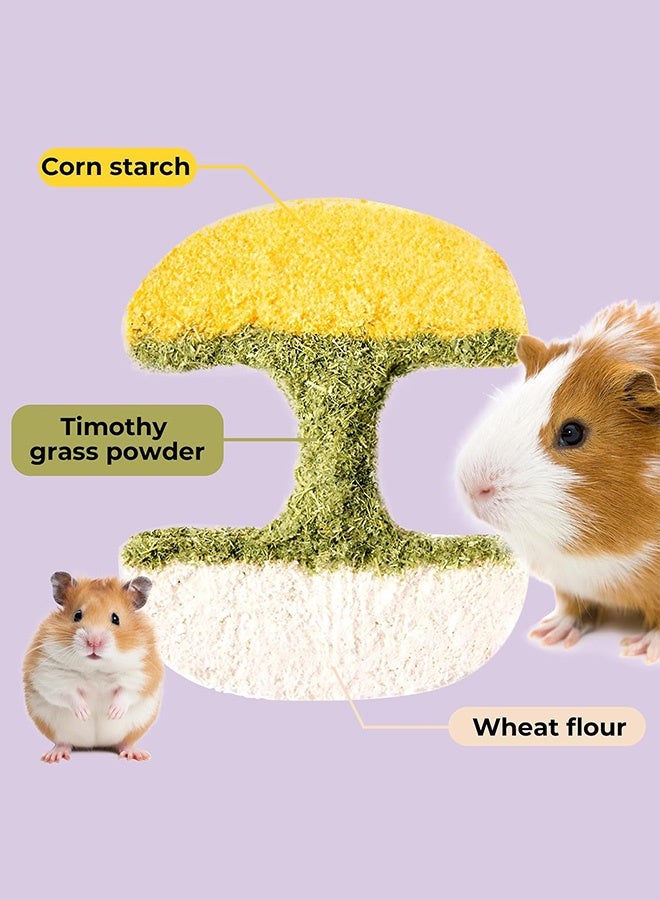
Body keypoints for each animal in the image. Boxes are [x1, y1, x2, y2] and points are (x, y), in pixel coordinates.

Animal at [23, 572, 164, 762]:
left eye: (115, 618)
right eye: (77, 615)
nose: (94, 642)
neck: (96, 668)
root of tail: (96, 745)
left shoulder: (142, 673)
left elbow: (127, 692)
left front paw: (113, 713)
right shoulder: (48, 673)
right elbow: (68, 692)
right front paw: (85, 713)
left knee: (124, 742)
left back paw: (136, 754)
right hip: (58, 730)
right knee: (64, 742)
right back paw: (54, 756)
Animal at [456, 302, 660, 660]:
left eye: (572, 432)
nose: (472, 486)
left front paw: (640, 649)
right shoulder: (569, 584)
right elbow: (573, 608)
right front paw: (548, 636)